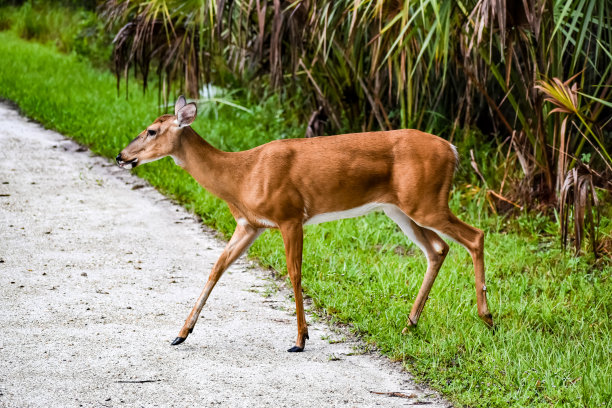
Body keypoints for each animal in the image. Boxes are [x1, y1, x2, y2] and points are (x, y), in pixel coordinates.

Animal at [117, 96, 494, 354]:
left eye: (151, 130)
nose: (122, 156)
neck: (241, 175)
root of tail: (452, 149)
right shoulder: (249, 224)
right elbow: (217, 268)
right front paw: (181, 333)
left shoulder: (290, 215)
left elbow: (294, 273)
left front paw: (300, 339)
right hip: (400, 208)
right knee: (438, 248)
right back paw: (410, 325)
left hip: (426, 201)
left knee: (475, 236)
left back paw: (486, 318)